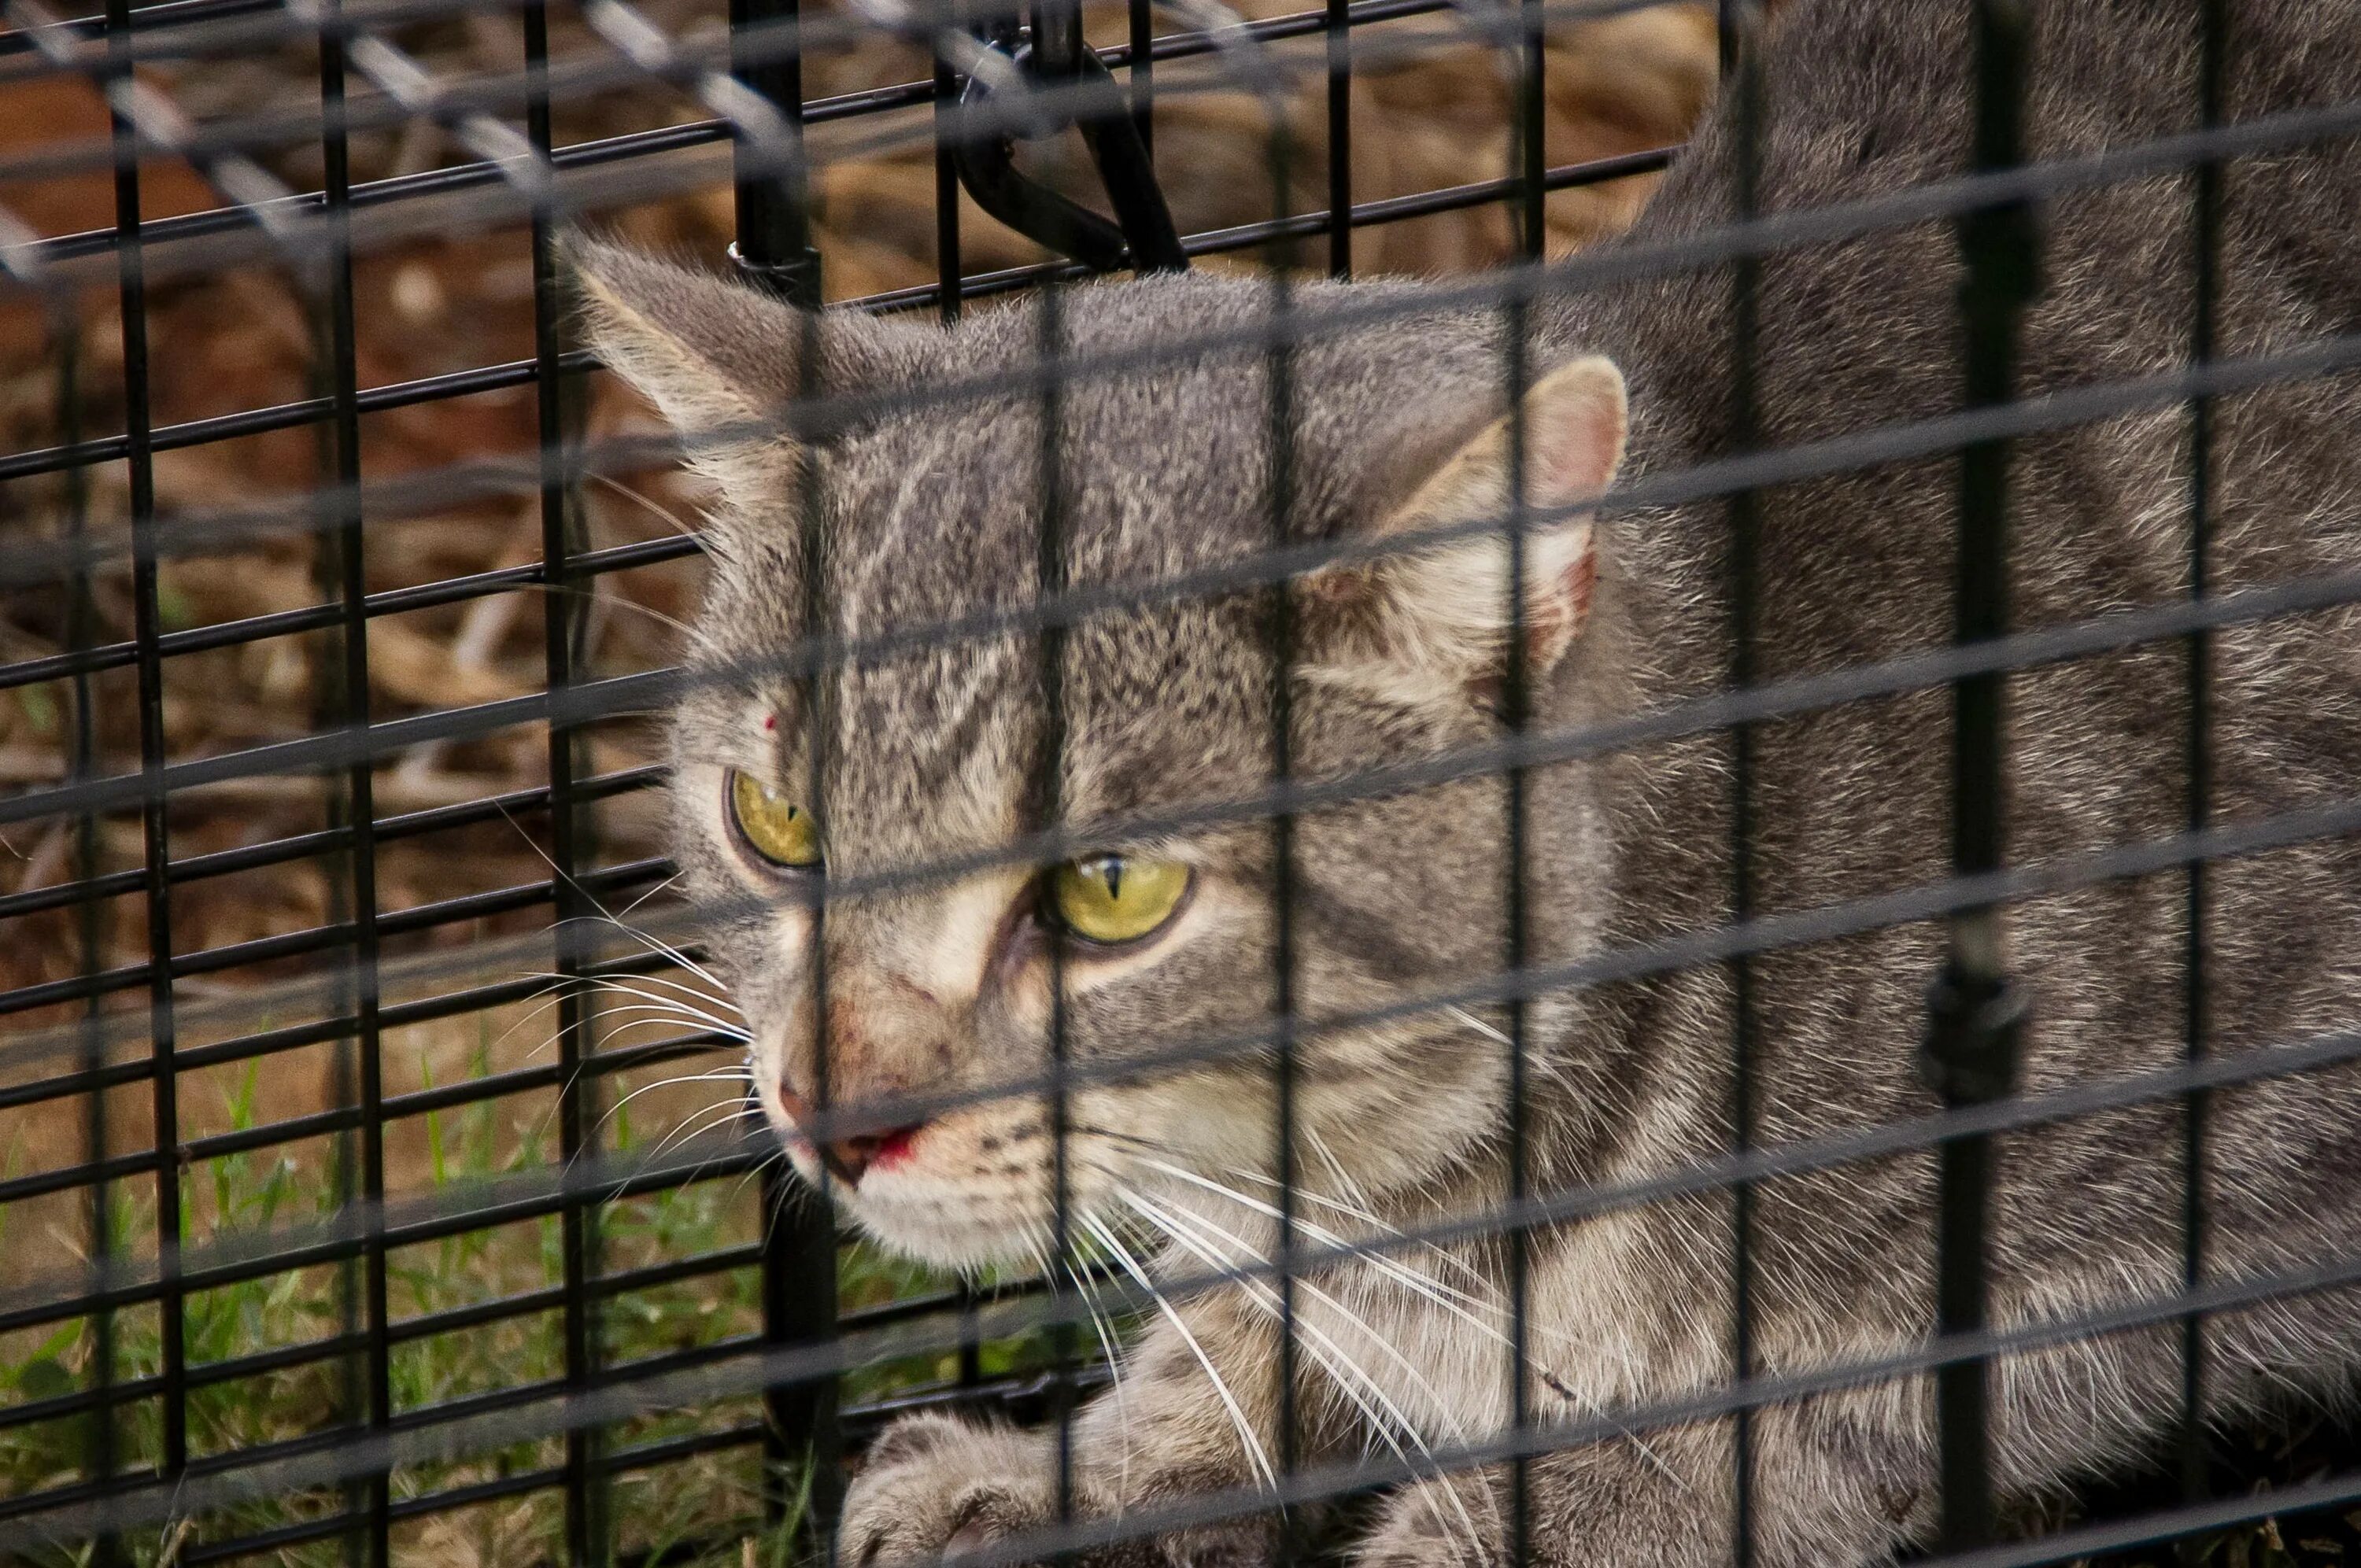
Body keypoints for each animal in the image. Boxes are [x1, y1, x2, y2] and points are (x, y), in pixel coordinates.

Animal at [567, 0, 2361, 1558]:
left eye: (1112, 893)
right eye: (777, 824)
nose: (829, 1112)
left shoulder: (2212, 1157)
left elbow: (1842, 1388)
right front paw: (1106, 1462)